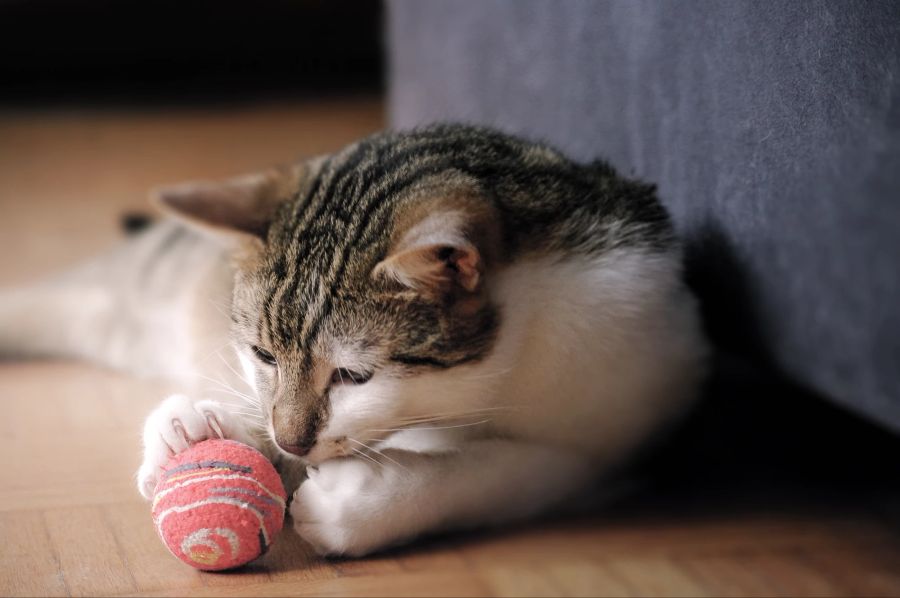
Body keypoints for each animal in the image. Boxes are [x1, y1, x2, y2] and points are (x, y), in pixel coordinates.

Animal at [0, 125, 712, 556]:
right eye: (262, 354)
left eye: (354, 376)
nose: (290, 441)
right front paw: (196, 428)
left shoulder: (627, 418)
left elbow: (525, 468)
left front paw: (365, 503)